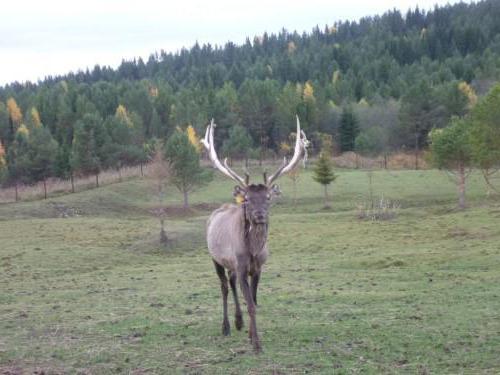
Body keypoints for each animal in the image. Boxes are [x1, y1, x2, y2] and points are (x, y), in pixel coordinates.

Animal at [201, 116, 306, 354]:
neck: (253, 251)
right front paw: (257, 343)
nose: (259, 215)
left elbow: (255, 301)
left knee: (231, 282)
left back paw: (238, 322)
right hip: (215, 258)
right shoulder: (241, 265)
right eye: (247, 198)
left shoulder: (257, 268)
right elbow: (250, 304)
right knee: (224, 287)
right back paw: (226, 326)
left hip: (230, 264)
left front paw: (250, 334)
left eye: (268, 197)